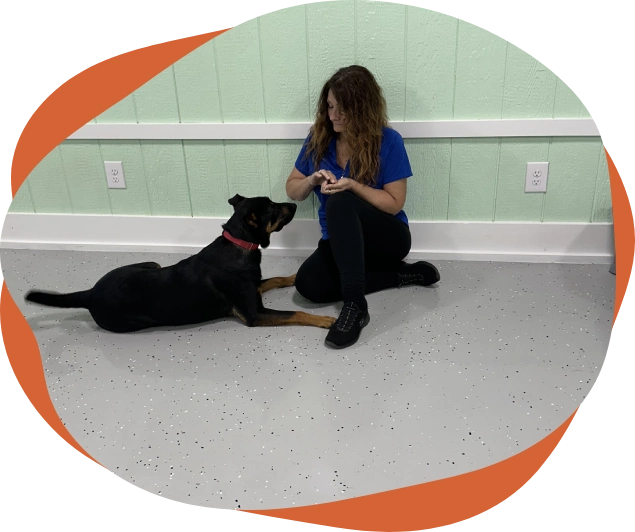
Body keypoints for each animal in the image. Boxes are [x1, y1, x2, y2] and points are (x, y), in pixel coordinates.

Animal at [24, 193, 338, 334]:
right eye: (273, 208)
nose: (294, 205)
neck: (239, 243)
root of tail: (90, 293)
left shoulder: (255, 287)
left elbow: (275, 278)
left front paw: (292, 276)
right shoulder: (254, 314)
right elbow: (296, 313)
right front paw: (325, 320)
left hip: (150, 263)